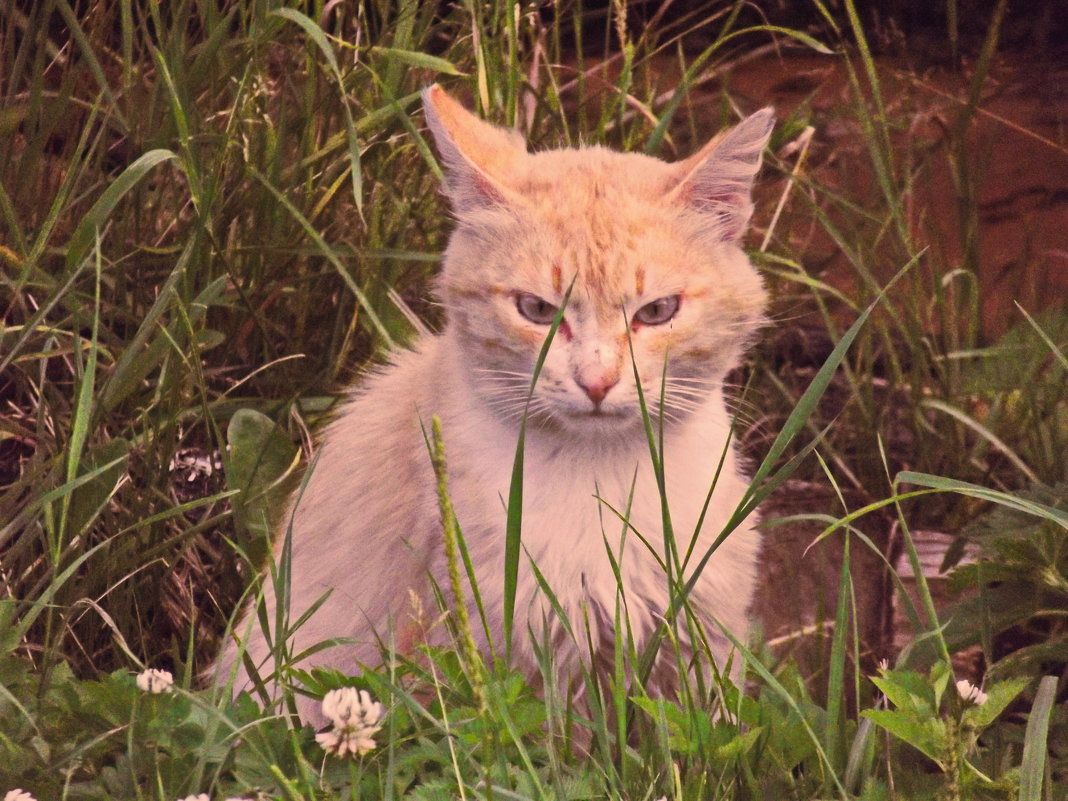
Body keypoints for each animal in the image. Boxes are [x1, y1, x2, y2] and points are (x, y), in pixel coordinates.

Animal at [216, 86, 773, 721]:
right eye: (536, 310)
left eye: (657, 311)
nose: (597, 381)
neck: (600, 482)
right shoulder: (483, 656)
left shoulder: (701, 645)